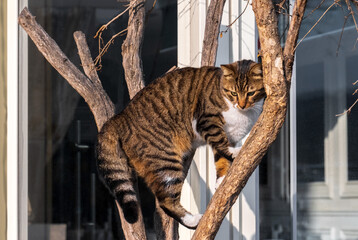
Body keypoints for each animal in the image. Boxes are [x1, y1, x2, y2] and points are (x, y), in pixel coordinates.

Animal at [96, 59, 264, 228]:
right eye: (233, 93)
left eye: (251, 93)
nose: (241, 105)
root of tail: (120, 116)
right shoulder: (206, 121)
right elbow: (221, 143)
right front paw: (235, 152)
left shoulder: (230, 136)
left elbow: (222, 159)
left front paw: (222, 180)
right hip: (165, 161)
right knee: (166, 202)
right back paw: (193, 220)